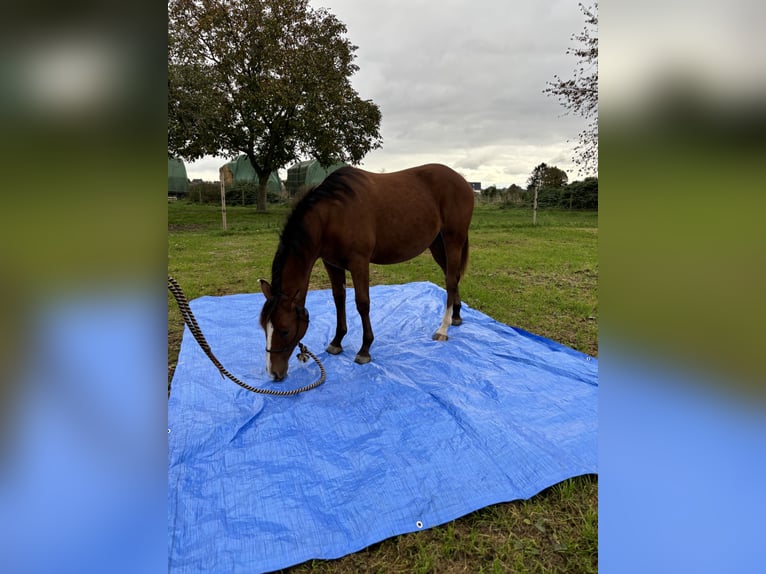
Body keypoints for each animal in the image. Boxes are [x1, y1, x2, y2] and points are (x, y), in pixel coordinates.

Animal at [260, 164, 474, 382]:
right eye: (263, 328)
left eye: (284, 331)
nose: (273, 373)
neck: (333, 214)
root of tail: (462, 181)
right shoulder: (332, 264)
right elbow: (339, 299)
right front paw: (337, 341)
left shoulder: (359, 262)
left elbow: (362, 303)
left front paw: (365, 349)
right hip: (437, 244)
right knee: (453, 278)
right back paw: (456, 316)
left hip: (453, 240)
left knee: (450, 281)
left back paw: (443, 328)